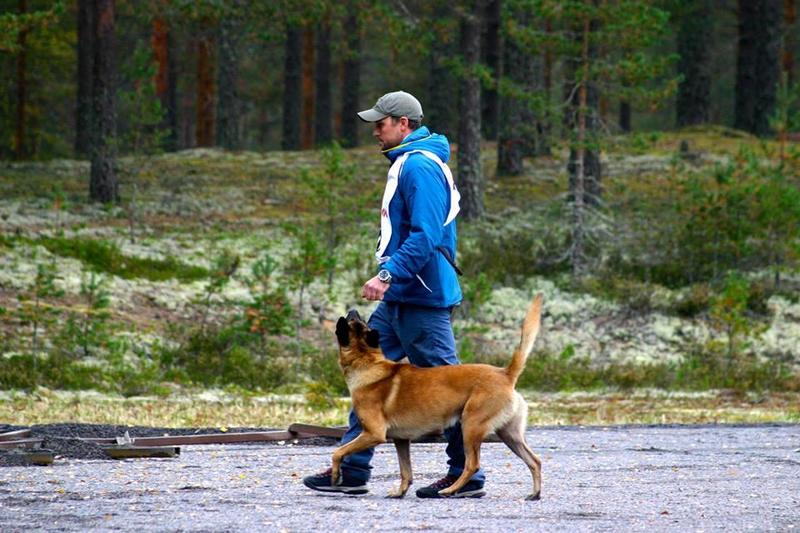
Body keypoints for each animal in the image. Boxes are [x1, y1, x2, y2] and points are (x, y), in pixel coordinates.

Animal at [330, 296, 544, 498]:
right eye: (357, 321)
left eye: (352, 322)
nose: (353, 310)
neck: (367, 361)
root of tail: (505, 374)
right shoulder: (401, 440)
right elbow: (406, 471)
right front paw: (400, 492)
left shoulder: (373, 433)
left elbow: (338, 451)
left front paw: (335, 476)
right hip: (509, 434)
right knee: (535, 461)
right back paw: (535, 494)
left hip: (471, 427)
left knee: (472, 465)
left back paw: (450, 490)